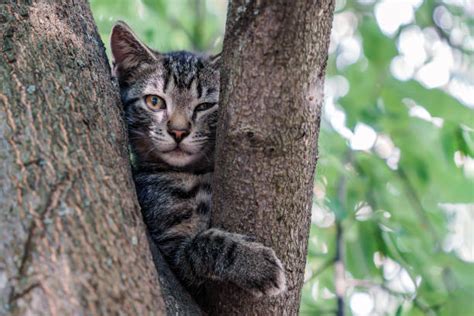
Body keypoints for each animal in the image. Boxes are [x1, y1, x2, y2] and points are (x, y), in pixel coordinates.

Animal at [110, 21, 286, 298]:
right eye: (154, 101)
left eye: (204, 106)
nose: (178, 131)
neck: (194, 174)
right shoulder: (171, 255)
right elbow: (203, 244)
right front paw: (255, 263)